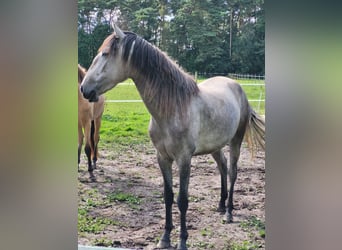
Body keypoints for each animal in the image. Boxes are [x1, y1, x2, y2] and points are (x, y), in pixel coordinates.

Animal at [80, 23, 264, 250]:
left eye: (105, 54)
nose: (84, 89)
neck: (174, 106)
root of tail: (236, 85)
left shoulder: (184, 159)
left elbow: (182, 199)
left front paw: (182, 241)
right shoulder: (163, 158)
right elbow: (168, 196)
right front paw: (165, 237)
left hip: (235, 141)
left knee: (232, 172)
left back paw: (229, 212)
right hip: (216, 145)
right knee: (222, 166)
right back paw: (221, 205)